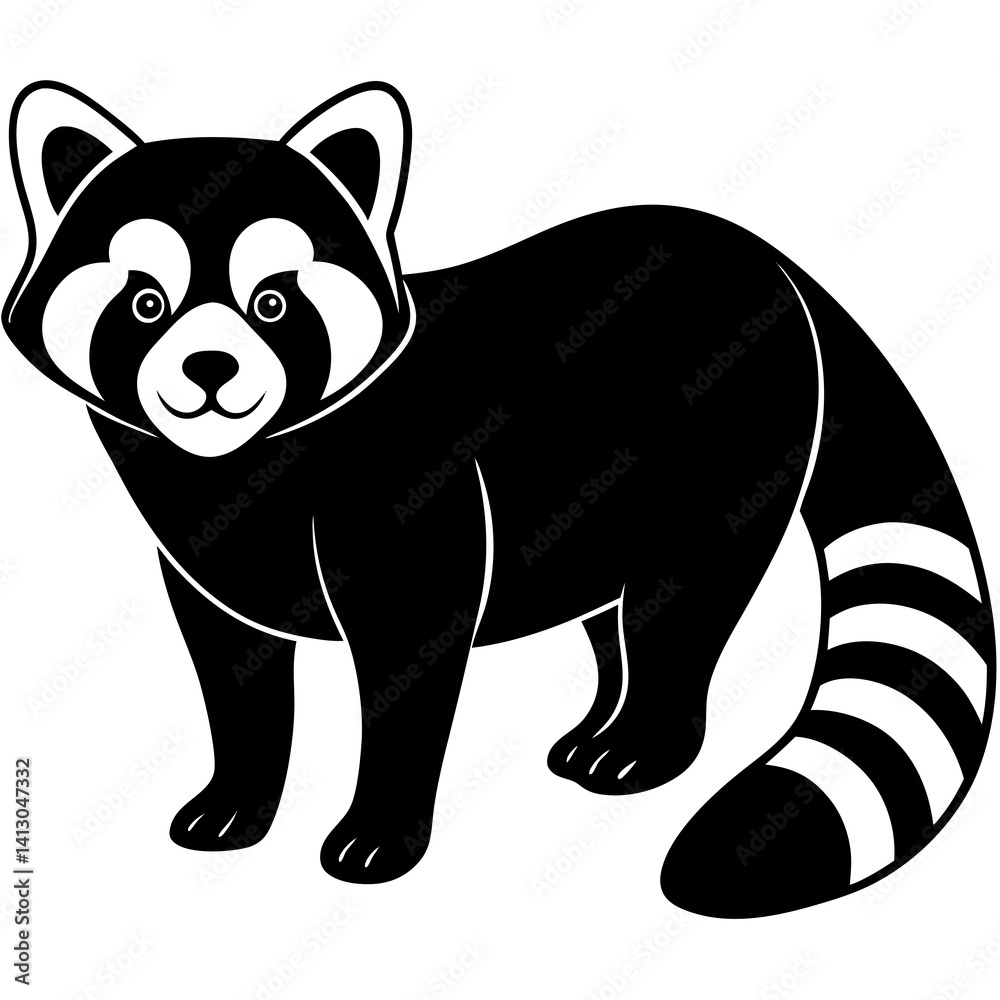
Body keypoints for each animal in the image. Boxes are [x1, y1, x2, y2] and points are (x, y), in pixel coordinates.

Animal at [3, 80, 993, 917]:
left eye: (275, 303)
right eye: (144, 303)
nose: (210, 368)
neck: (240, 465)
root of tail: (768, 257)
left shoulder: (410, 492)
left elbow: (408, 668)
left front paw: (380, 830)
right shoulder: (203, 555)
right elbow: (235, 677)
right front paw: (238, 799)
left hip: (728, 442)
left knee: (680, 600)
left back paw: (644, 740)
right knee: (612, 607)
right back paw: (598, 720)